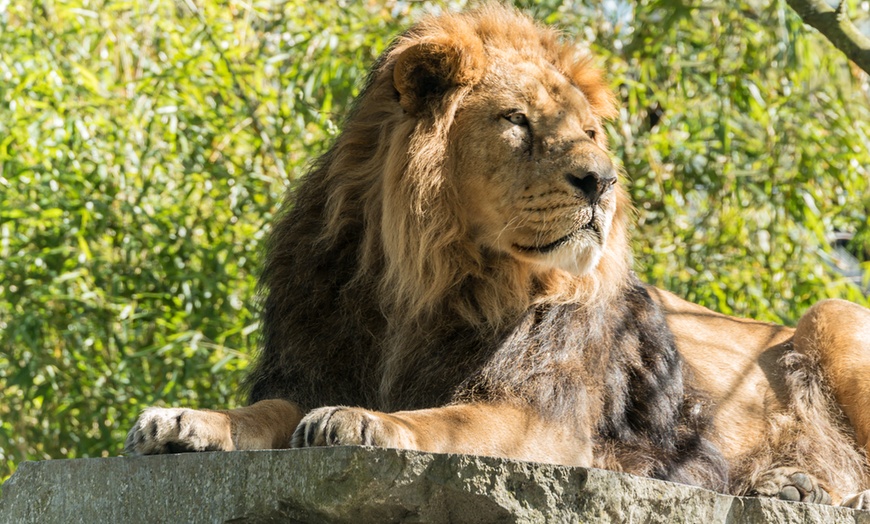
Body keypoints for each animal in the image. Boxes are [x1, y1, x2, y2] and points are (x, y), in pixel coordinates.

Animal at [126, 4, 870, 510]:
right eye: (516, 120)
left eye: (591, 131)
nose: (603, 181)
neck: (422, 283)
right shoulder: (312, 363)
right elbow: (267, 412)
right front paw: (186, 421)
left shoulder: (543, 423)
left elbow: (446, 419)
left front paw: (364, 421)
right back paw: (792, 484)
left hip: (834, 313)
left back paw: (806, 484)